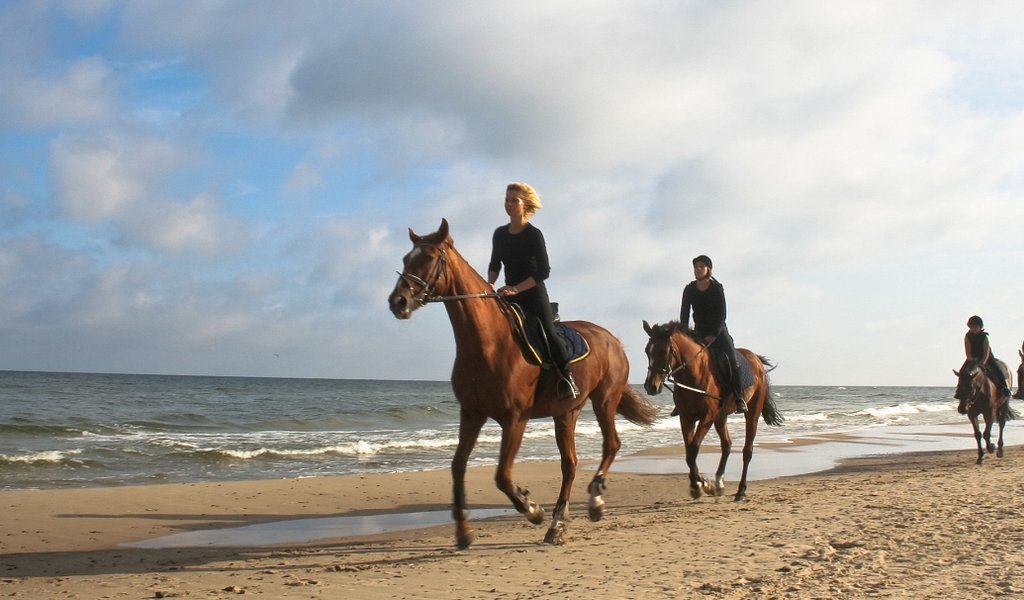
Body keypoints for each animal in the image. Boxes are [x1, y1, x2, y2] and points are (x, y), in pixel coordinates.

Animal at [385, 217, 655, 544]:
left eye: (429, 258)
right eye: (405, 259)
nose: (397, 301)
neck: (488, 343)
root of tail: (613, 340)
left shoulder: (515, 419)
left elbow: (502, 475)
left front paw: (532, 509)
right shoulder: (471, 414)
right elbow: (457, 467)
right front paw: (464, 532)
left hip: (605, 401)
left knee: (611, 445)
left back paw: (594, 501)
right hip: (566, 413)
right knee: (570, 464)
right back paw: (557, 524)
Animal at [643, 319, 778, 497]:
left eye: (664, 351)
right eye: (647, 351)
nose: (651, 387)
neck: (694, 373)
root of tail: (756, 360)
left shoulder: (707, 416)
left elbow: (693, 449)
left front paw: (698, 485)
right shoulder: (686, 417)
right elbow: (689, 451)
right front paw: (703, 483)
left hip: (752, 414)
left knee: (747, 450)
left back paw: (741, 490)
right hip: (721, 416)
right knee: (727, 445)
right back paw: (719, 483)